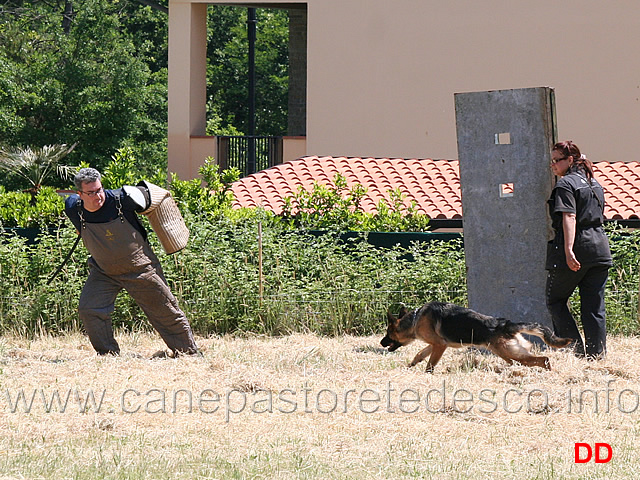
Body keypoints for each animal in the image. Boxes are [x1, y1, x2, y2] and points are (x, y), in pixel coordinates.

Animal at [382, 302, 572, 374]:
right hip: (510, 354)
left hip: (510, 353)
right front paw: (410, 366)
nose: (380, 342)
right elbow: (420, 354)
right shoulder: (436, 344)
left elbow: (430, 363)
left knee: (543, 359)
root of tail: (506, 324)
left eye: (387, 334)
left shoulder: (440, 345)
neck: (415, 319)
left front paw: (427, 373)